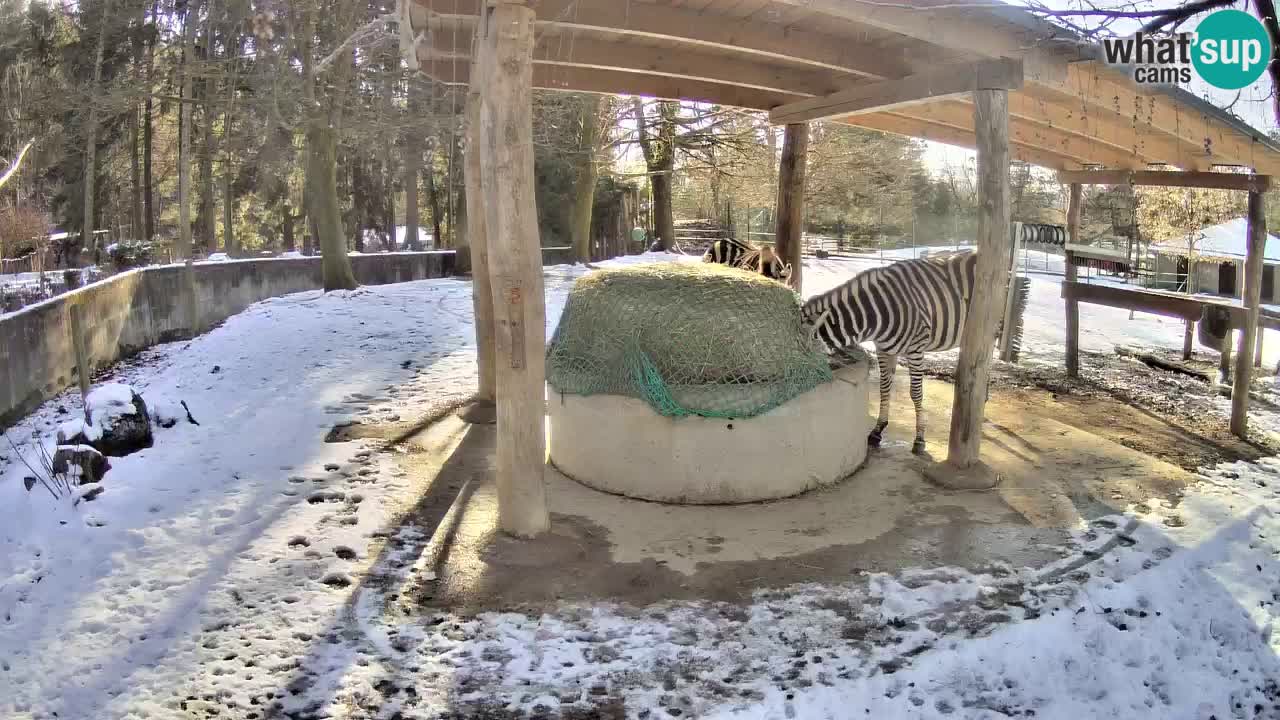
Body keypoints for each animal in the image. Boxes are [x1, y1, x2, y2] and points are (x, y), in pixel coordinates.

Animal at [798, 251, 998, 453]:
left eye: (798, 351)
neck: (875, 315)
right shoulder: (883, 348)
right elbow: (884, 388)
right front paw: (877, 430)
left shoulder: (916, 349)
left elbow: (916, 393)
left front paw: (919, 438)